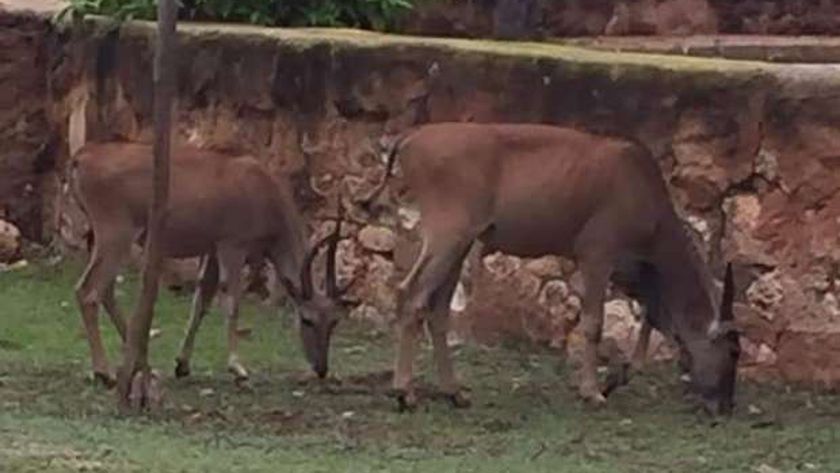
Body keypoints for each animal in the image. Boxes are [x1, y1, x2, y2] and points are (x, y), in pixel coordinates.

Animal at [68, 140, 352, 388]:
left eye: (334, 322)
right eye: (307, 320)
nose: (321, 368)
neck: (263, 187)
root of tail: (83, 156)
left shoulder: (212, 252)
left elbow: (201, 302)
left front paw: (182, 364)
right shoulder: (232, 247)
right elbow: (232, 302)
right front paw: (237, 367)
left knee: (105, 291)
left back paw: (142, 362)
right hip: (116, 235)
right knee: (88, 291)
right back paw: (104, 372)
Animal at [368, 122, 740, 416]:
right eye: (733, 351)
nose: (725, 406)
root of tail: (412, 137)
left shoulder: (636, 272)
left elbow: (652, 319)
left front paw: (615, 379)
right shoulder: (597, 256)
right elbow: (594, 324)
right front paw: (593, 392)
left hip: (459, 245)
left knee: (438, 308)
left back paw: (454, 392)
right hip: (448, 236)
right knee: (411, 294)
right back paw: (405, 393)